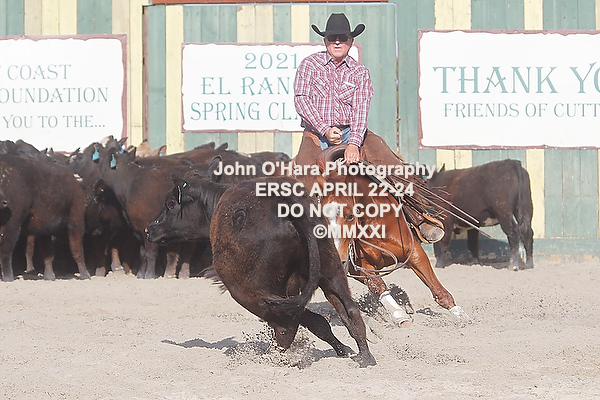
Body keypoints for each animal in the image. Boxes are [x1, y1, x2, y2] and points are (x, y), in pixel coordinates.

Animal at [146, 159, 376, 367]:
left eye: (170, 203)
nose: (150, 229)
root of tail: (288, 205)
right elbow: (321, 322)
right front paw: (343, 349)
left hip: (249, 291)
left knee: (286, 324)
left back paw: (272, 358)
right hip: (331, 270)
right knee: (349, 310)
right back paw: (365, 356)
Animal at [313, 145, 470, 326]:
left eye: (350, 215)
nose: (338, 257)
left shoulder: (413, 251)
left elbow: (436, 287)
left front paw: (461, 315)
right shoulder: (357, 267)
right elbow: (378, 285)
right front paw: (399, 315)